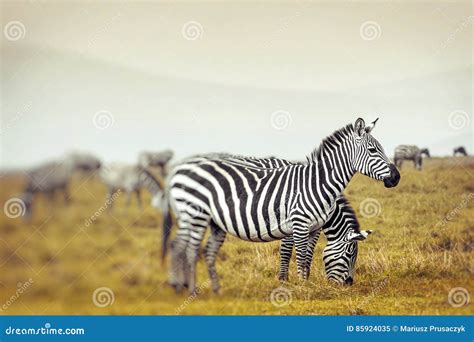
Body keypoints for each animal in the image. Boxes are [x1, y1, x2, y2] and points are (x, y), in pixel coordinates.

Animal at [163, 118, 400, 294]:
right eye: (373, 150)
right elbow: (293, 254)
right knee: (186, 247)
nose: (396, 177)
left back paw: (203, 288)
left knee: (189, 247)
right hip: (194, 213)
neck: (317, 183)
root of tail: (180, 166)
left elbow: (308, 256)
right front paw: (294, 285)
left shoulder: (313, 227)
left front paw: (304, 282)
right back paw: (188, 288)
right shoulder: (296, 223)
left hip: (210, 220)